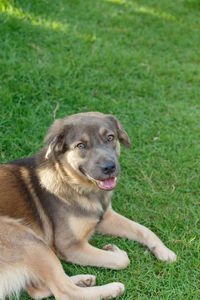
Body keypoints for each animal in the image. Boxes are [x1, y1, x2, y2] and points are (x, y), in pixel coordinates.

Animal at [0, 113, 176, 300]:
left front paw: (164, 250)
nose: (110, 167)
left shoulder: (105, 217)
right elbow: (122, 260)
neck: (73, 183)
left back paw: (83, 279)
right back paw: (111, 288)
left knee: (38, 290)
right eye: (81, 145)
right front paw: (116, 253)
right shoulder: (70, 246)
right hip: (27, 238)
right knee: (64, 291)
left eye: (110, 137)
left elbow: (143, 229)